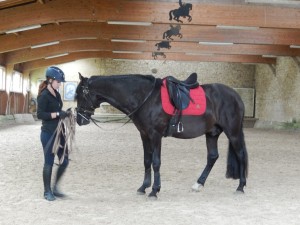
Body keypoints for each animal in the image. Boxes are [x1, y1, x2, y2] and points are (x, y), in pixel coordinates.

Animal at [75, 73, 248, 198]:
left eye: (80, 95)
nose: (79, 120)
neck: (145, 98)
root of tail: (236, 96)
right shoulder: (144, 135)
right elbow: (147, 161)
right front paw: (143, 187)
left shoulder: (155, 135)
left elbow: (156, 162)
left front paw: (154, 190)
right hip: (212, 133)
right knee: (212, 157)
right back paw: (198, 184)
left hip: (232, 133)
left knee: (240, 155)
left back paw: (240, 186)